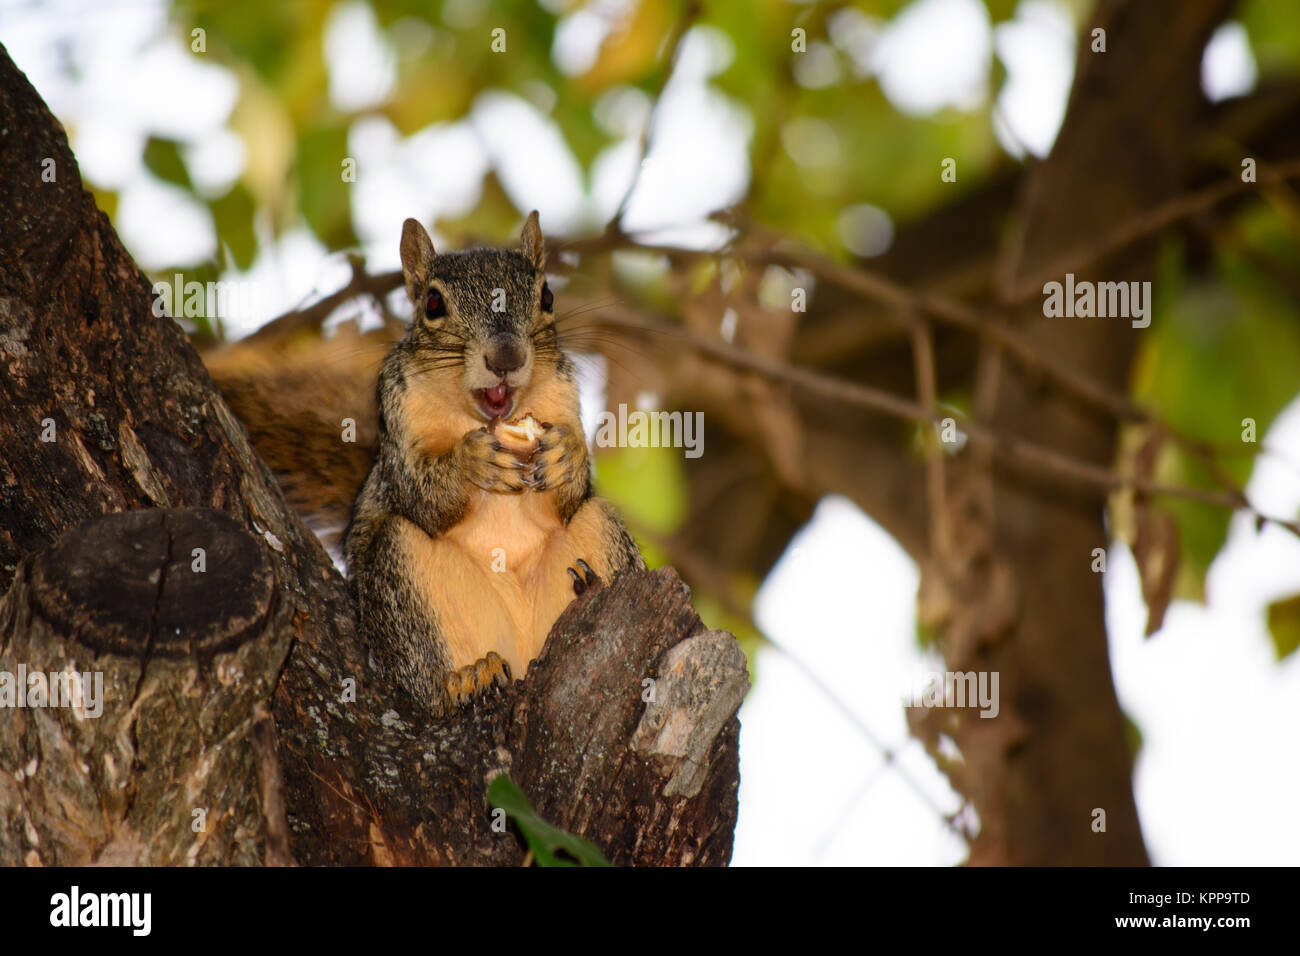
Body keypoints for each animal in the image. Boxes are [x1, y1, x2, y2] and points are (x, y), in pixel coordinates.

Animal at [340, 213, 644, 712]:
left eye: (547, 296)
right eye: (432, 303)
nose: (506, 356)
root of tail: (519, 657)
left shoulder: (563, 398)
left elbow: (565, 499)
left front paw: (567, 455)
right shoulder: (396, 428)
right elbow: (418, 493)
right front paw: (470, 462)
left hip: (596, 531)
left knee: (592, 518)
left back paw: (588, 586)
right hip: (399, 576)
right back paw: (467, 678)